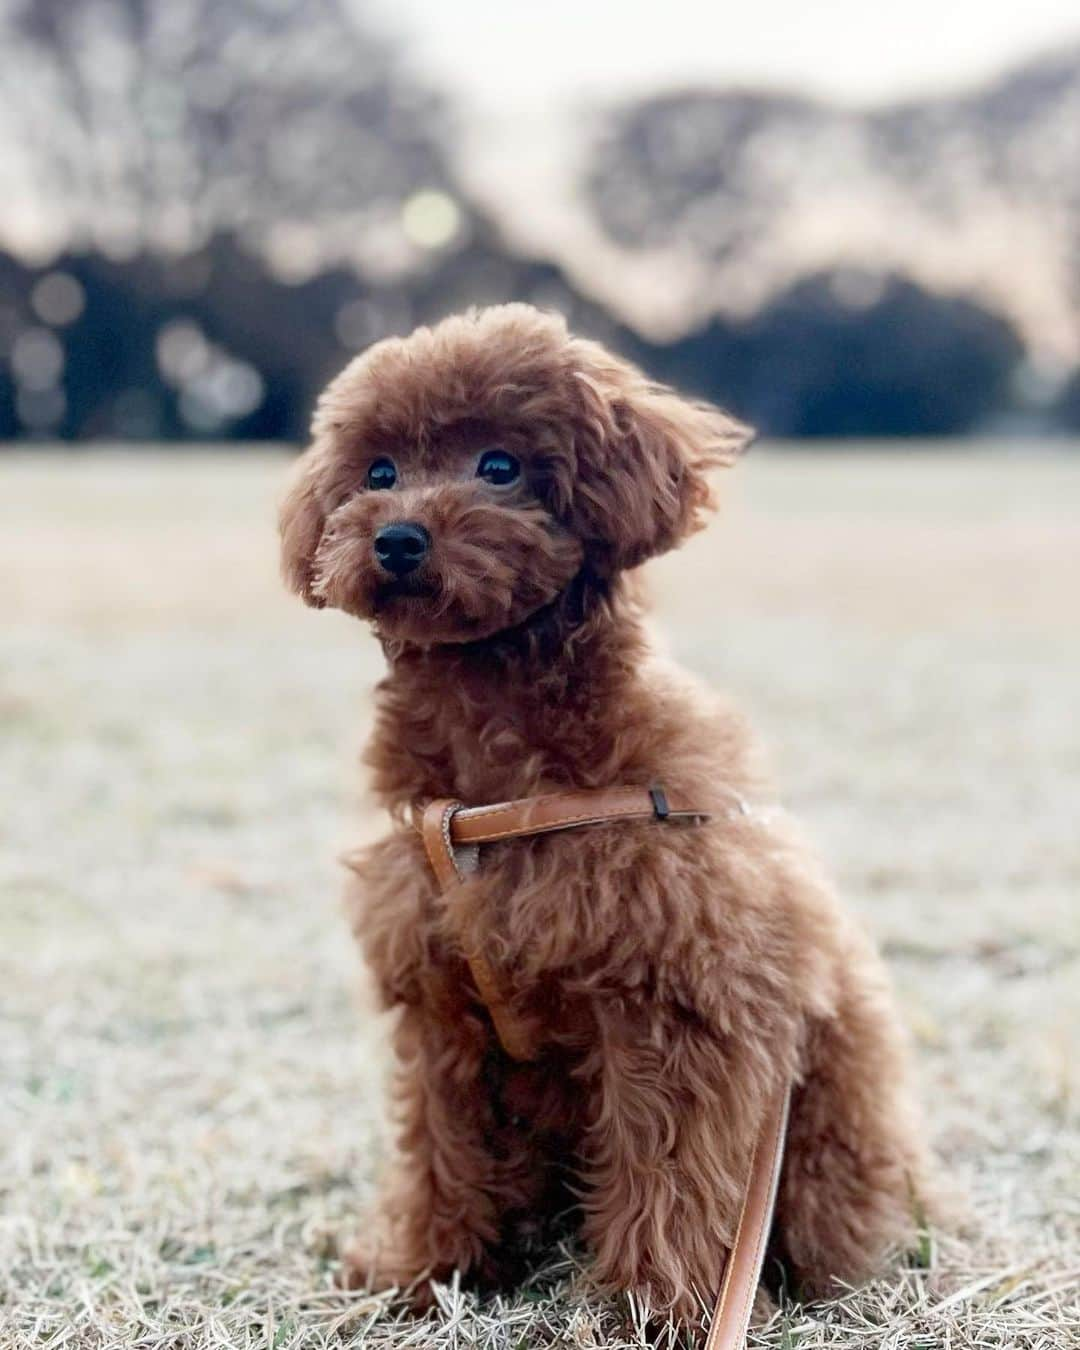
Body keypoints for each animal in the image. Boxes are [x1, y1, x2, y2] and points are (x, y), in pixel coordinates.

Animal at [282, 306, 934, 1328]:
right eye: (378, 473)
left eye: (500, 465)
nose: (396, 539)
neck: (496, 778)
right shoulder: (440, 1011)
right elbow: (441, 1155)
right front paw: (425, 1272)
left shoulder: (672, 1004)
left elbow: (663, 1174)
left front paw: (651, 1309)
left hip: (832, 1118)